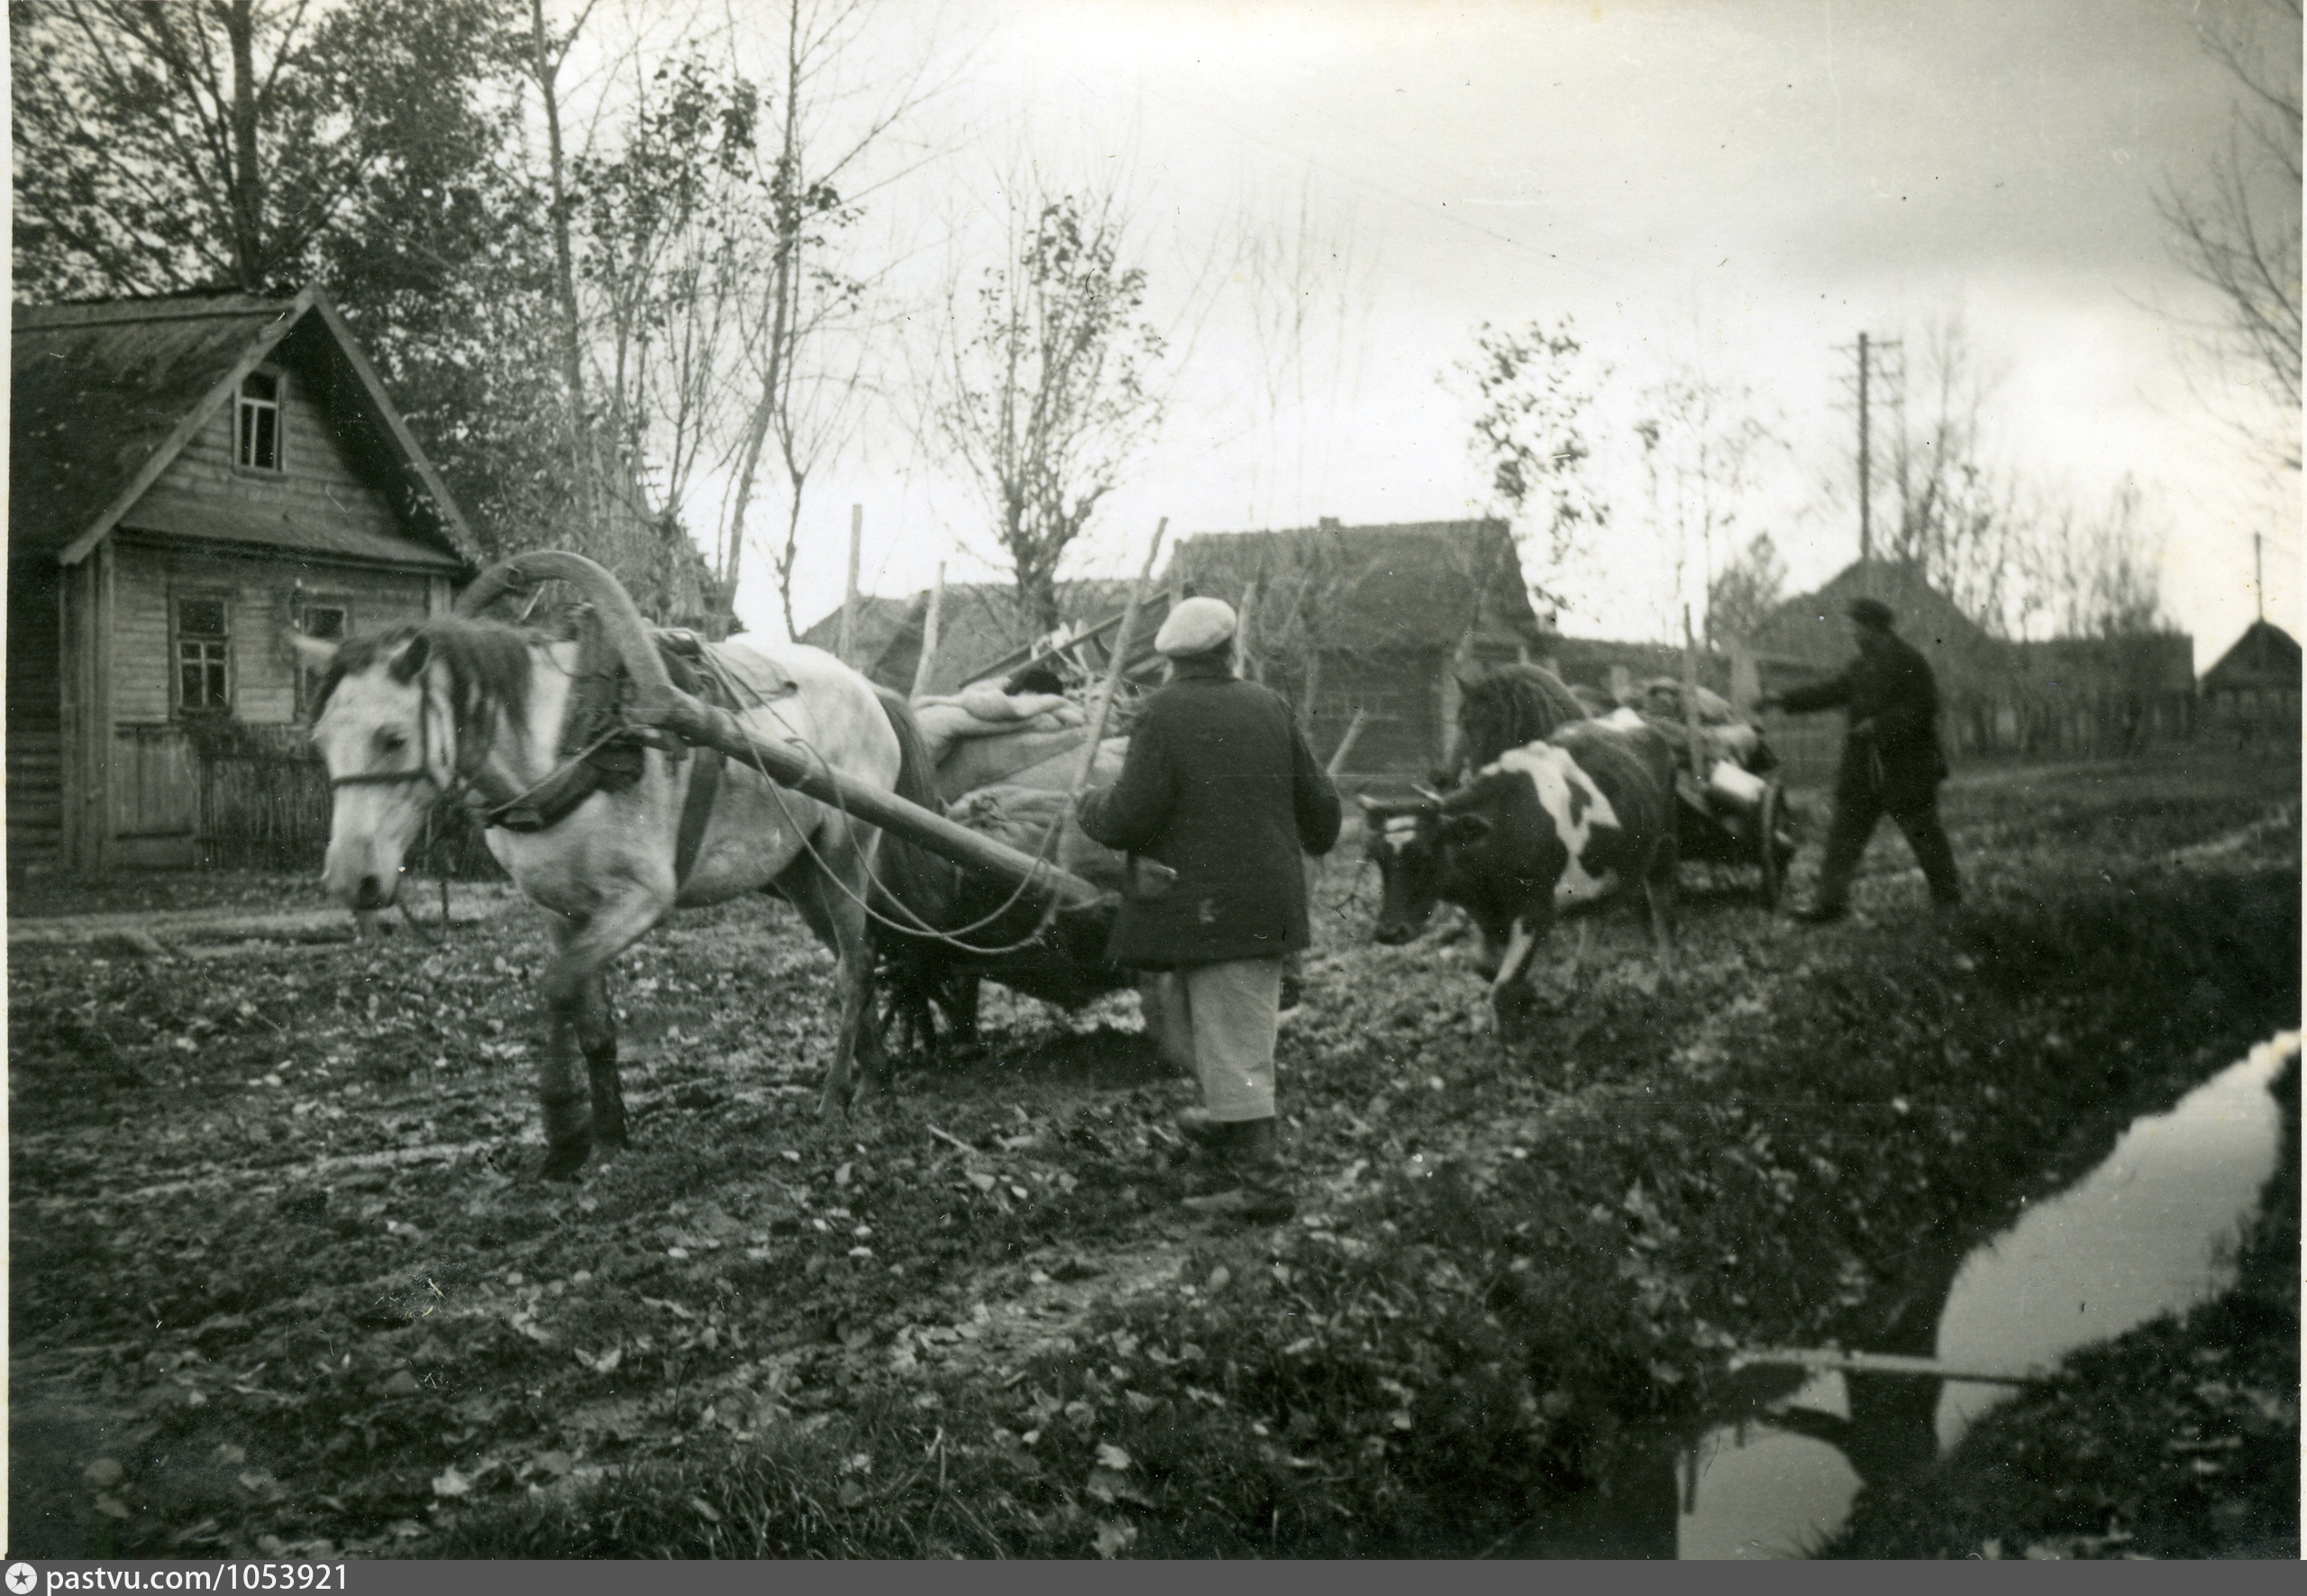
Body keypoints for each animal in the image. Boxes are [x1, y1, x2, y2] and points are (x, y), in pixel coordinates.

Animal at [297, 608, 936, 1172]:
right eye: (321, 741)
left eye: (393, 738)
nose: (350, 877)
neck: (566, 744)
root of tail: (868, 689)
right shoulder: (561, 908)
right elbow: (592, 1019)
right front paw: (607, 1136)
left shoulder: (641, 900)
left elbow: (557, 985)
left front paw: (562, 1125)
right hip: (802, 872)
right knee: (862, 958)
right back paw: (876, 1077)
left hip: (847, 853)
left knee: (855, 969)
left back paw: (834, 1098)